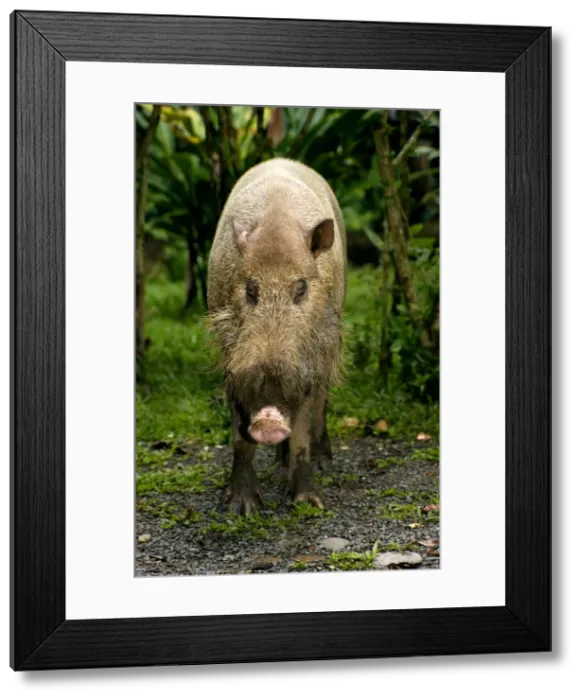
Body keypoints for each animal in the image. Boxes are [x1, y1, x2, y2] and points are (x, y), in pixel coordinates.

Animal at [207, 157, 347, 516]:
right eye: (250, 288)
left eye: (301, 287)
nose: (268, 420)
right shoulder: (233, 360)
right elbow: (239, 436)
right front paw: (240, 509)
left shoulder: (310, 361)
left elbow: (301, 431)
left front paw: (308, 505)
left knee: (322, 401)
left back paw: (324, 462)